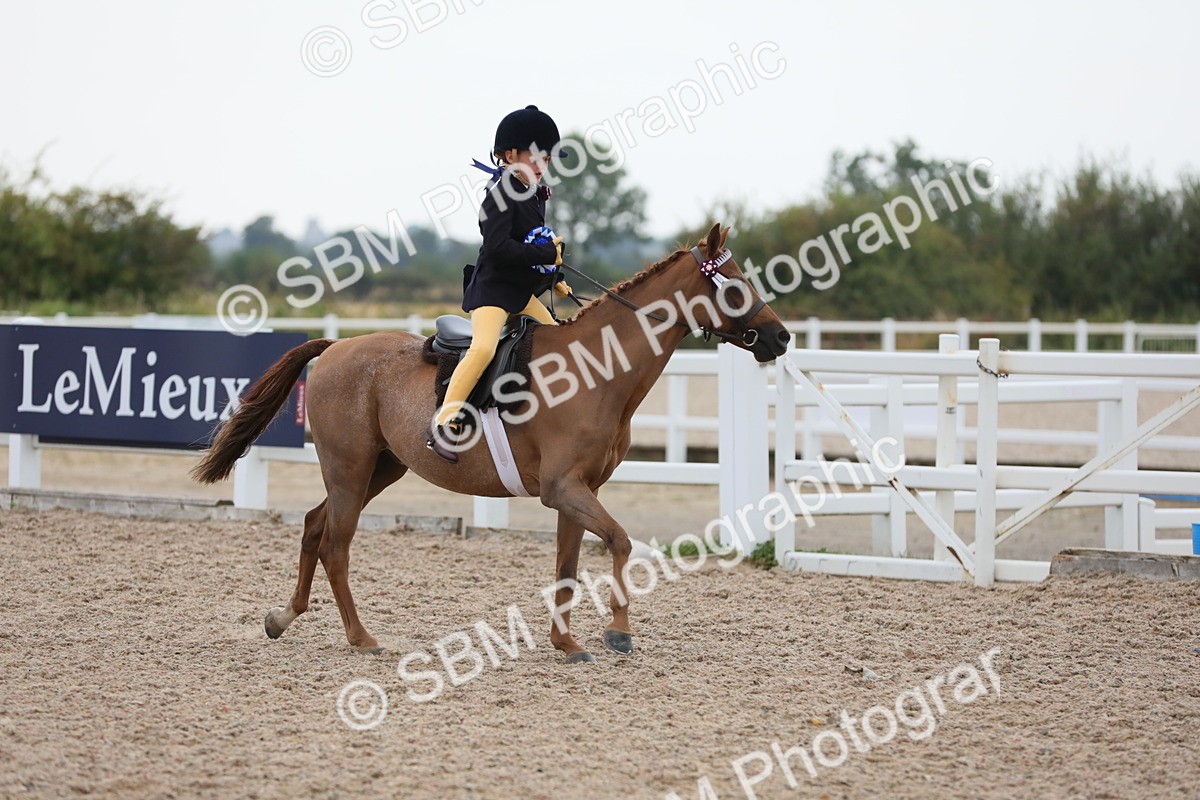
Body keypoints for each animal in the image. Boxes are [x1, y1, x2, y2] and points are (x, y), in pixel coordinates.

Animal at [192, 224, 790, 662]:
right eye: (731, 284)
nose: (780, 337)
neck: (596, 372)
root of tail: (337, 346)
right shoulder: (563, 488)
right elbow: (620, 543)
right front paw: (618, 632)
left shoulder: (578, 493)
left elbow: (568, 566)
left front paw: (566, 643)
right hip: (350, 468)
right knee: (336, 545)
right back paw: (361, 638)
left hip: (378, 470)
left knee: (315, 527)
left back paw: (282, 617)